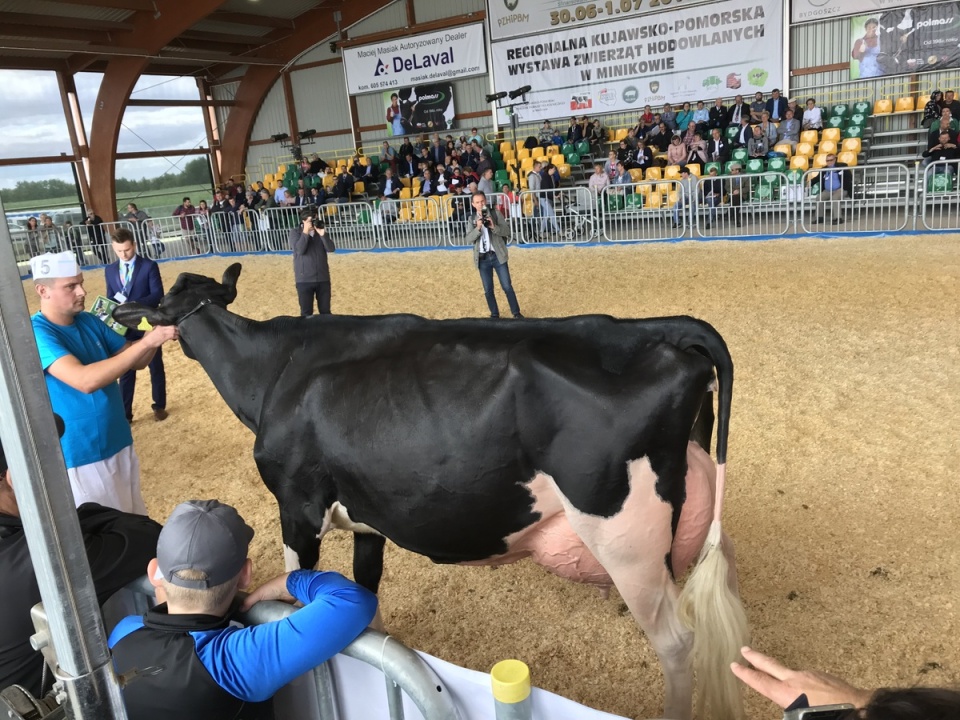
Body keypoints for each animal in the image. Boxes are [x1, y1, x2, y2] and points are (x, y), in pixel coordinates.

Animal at [116, 266, 752, 720]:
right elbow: (364, 595)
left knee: (677, 642)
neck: (275, 373)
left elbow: (297, 592)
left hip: (625, 535)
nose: (118, 306)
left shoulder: (296, 505)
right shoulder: (366, 518)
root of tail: (659, 328)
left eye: (159, 296)